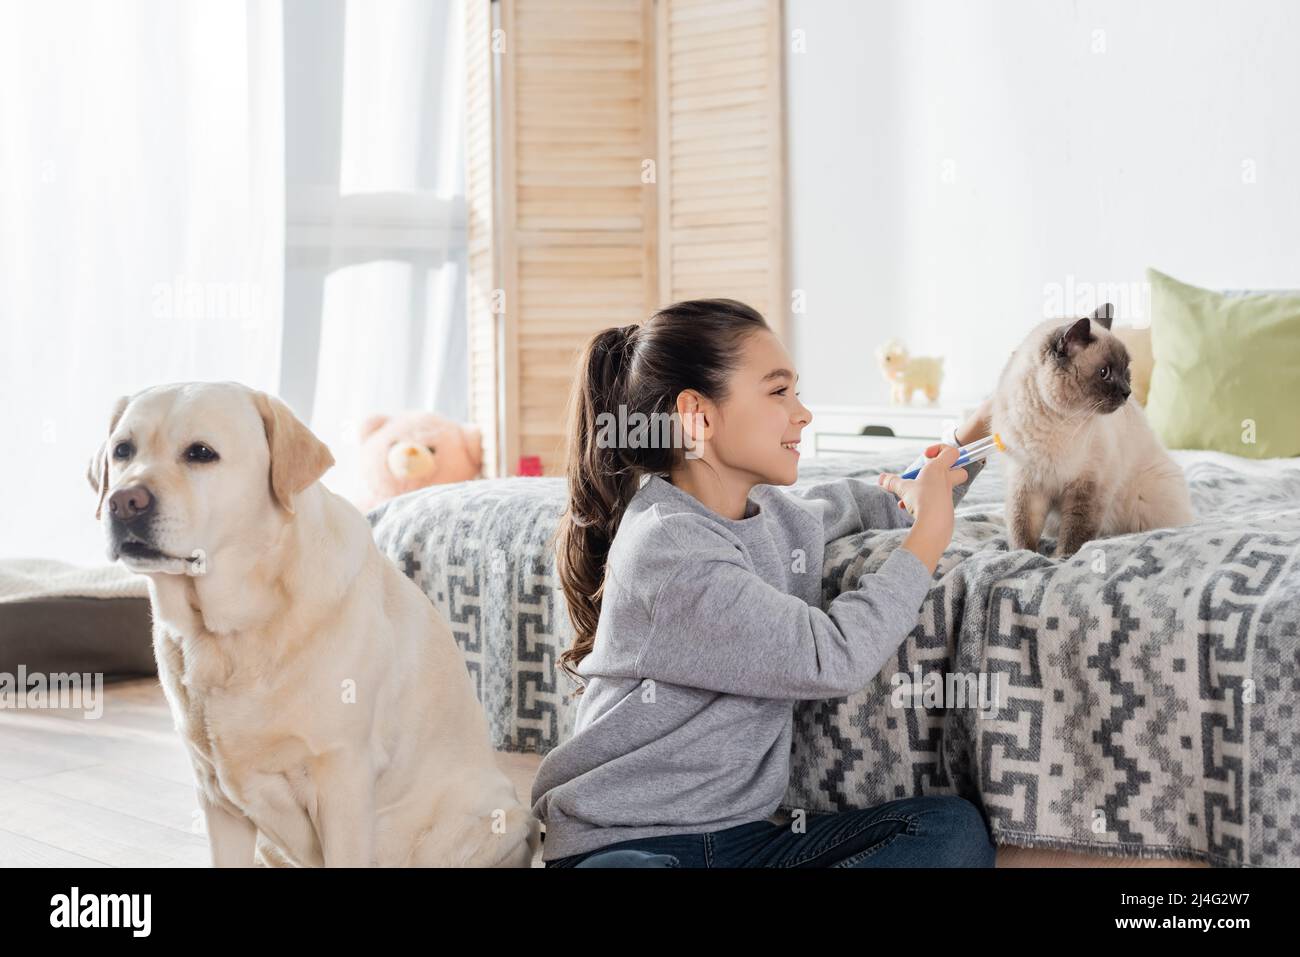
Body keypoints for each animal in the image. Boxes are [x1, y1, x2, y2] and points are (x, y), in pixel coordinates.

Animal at [89, 382, 538, 868]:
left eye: (201, 453)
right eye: (122, 451)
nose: (123, 502)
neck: (230, 629)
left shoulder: (341, 780)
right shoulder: (216, 799)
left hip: (490, 822)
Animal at [987, 304, 1190, 561]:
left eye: (1126, 370)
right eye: (1104, 372)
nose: (1127, 392)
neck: (1056, 422)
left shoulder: (1088, 485)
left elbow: (1076, 532)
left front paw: (1061, 559)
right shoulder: (1027, 485)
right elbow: (1022, 532)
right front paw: (1024, 557)